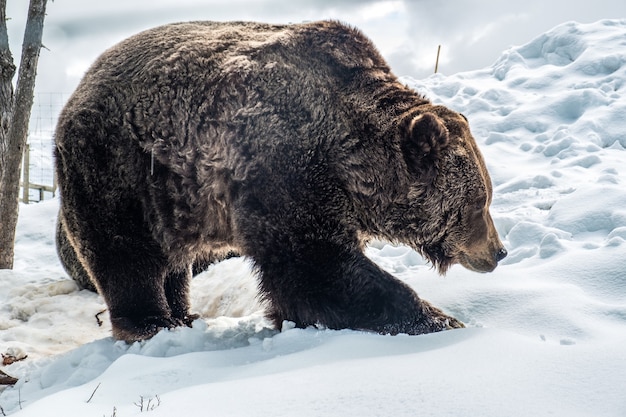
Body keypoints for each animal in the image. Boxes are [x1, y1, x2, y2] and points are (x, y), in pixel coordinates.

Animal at [54, 19, 508, 340]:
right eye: (479, 204)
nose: (499, 251)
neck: (350, 161)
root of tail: (77, 89)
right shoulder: (282, 167)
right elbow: (314, 266)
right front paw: (440, 320)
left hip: (171, 199)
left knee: (172, 262)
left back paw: (184, 315)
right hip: (120, 168)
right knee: (125, 252)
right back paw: (151, 323)